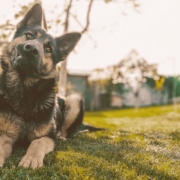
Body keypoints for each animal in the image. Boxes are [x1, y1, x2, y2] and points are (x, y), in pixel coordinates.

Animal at [0, 3, 82, 168]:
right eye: (29, 36)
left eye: (48, 49)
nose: (31, 49)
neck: (25, 92)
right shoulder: (5, 134)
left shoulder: (46, 137)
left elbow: (37, 144)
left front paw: (31, 158)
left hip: (74, 100)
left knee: (66, 129)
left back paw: (62, 135)